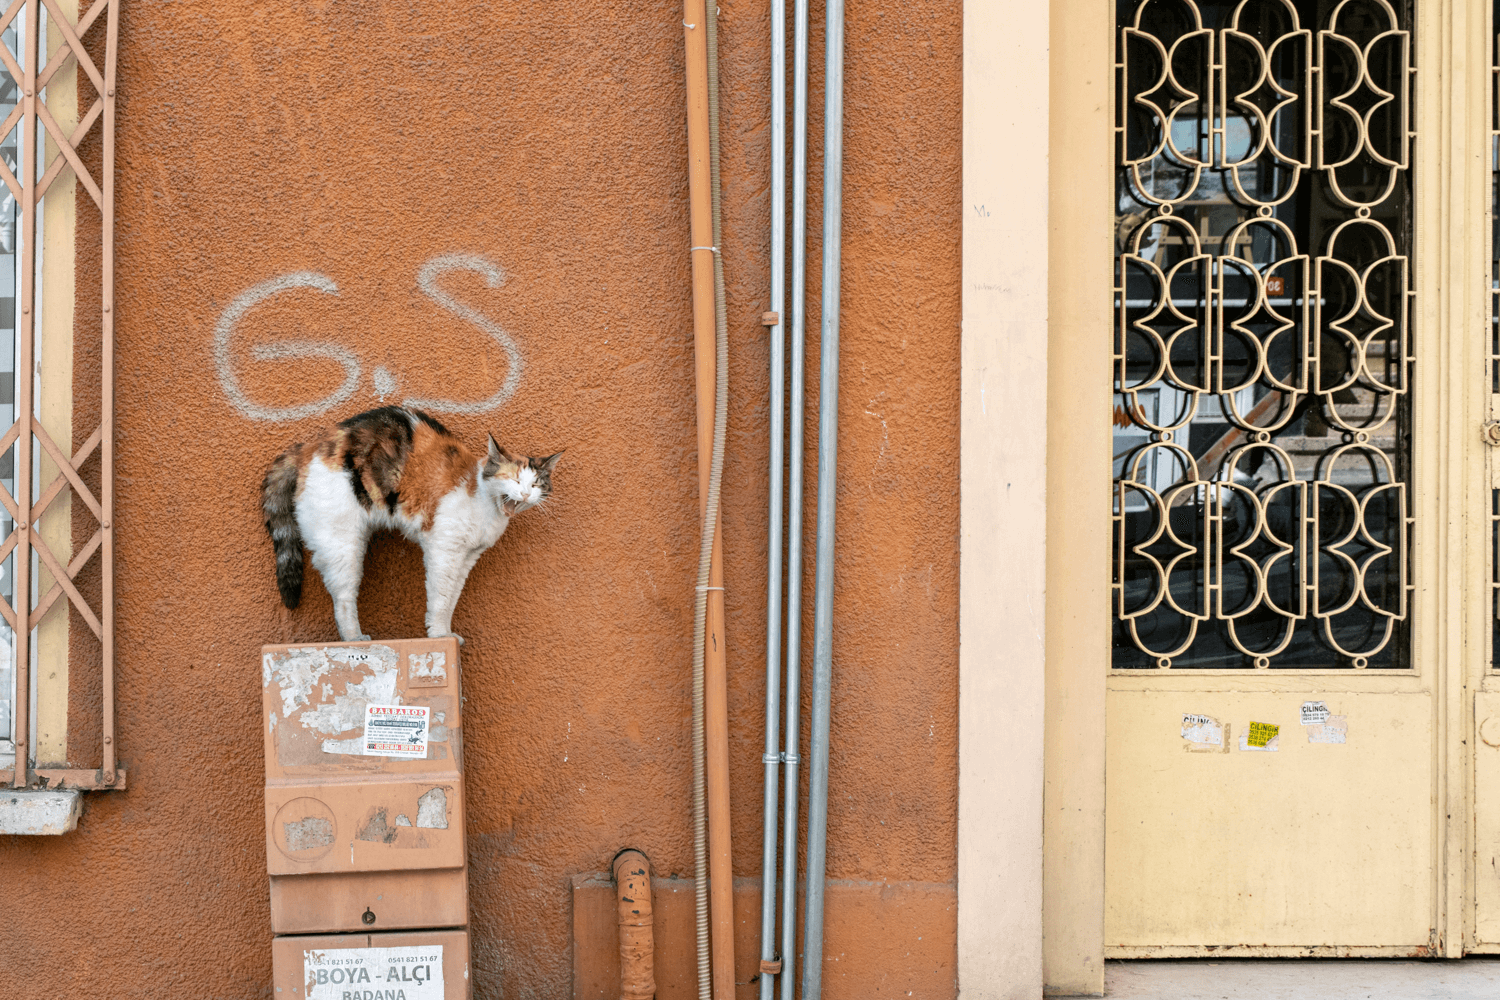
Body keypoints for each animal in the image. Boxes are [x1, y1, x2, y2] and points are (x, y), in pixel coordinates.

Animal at [261, 404, 561, 644]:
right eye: (513, 479)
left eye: (536, 484)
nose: (525, 494)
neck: (486, 504)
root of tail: (309, 447)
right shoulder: (444, 549)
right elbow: (441, 596)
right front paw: (438, 635)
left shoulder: (467, 557)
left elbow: (452, 597)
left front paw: (447, 633)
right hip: (342, 543)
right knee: (343, 598)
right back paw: (354, 638)